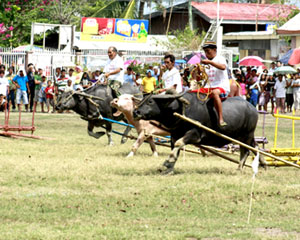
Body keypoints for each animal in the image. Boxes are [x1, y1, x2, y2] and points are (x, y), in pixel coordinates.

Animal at [135, 93, 266, 173]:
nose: (136, 112)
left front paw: (168, 162)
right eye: (142, 100)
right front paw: (169, 169)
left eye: (150, 101)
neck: (181, 110)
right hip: (245, 136)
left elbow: (179, 144)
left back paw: (240, 168)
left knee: (247, 150)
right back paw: (263, 164)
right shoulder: (174, 134)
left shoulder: (195, 134)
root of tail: (253, 108)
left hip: (246, 135)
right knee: (255, 147)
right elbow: (175, 147)